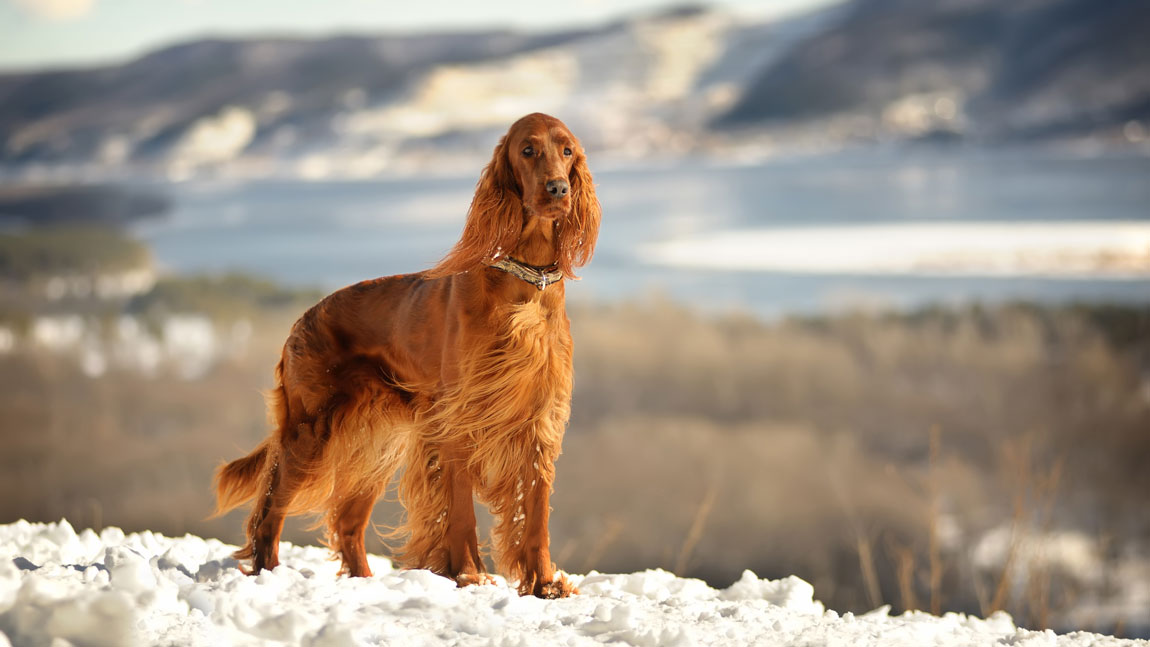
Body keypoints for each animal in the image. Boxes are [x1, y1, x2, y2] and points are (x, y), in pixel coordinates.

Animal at [212, 113, 602, 602]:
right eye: (528, 150)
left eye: (567, 151)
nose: (557, 189)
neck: (525, 283)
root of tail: (301, 320)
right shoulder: (457, 421)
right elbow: (460, 510)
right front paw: (468, 575)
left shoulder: (539, 420)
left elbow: (536, 513)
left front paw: (544, 583)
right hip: (311, 430)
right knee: (270, 509)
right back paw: (268, 575)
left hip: (375, 444)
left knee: (347, 522)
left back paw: (364, 585)